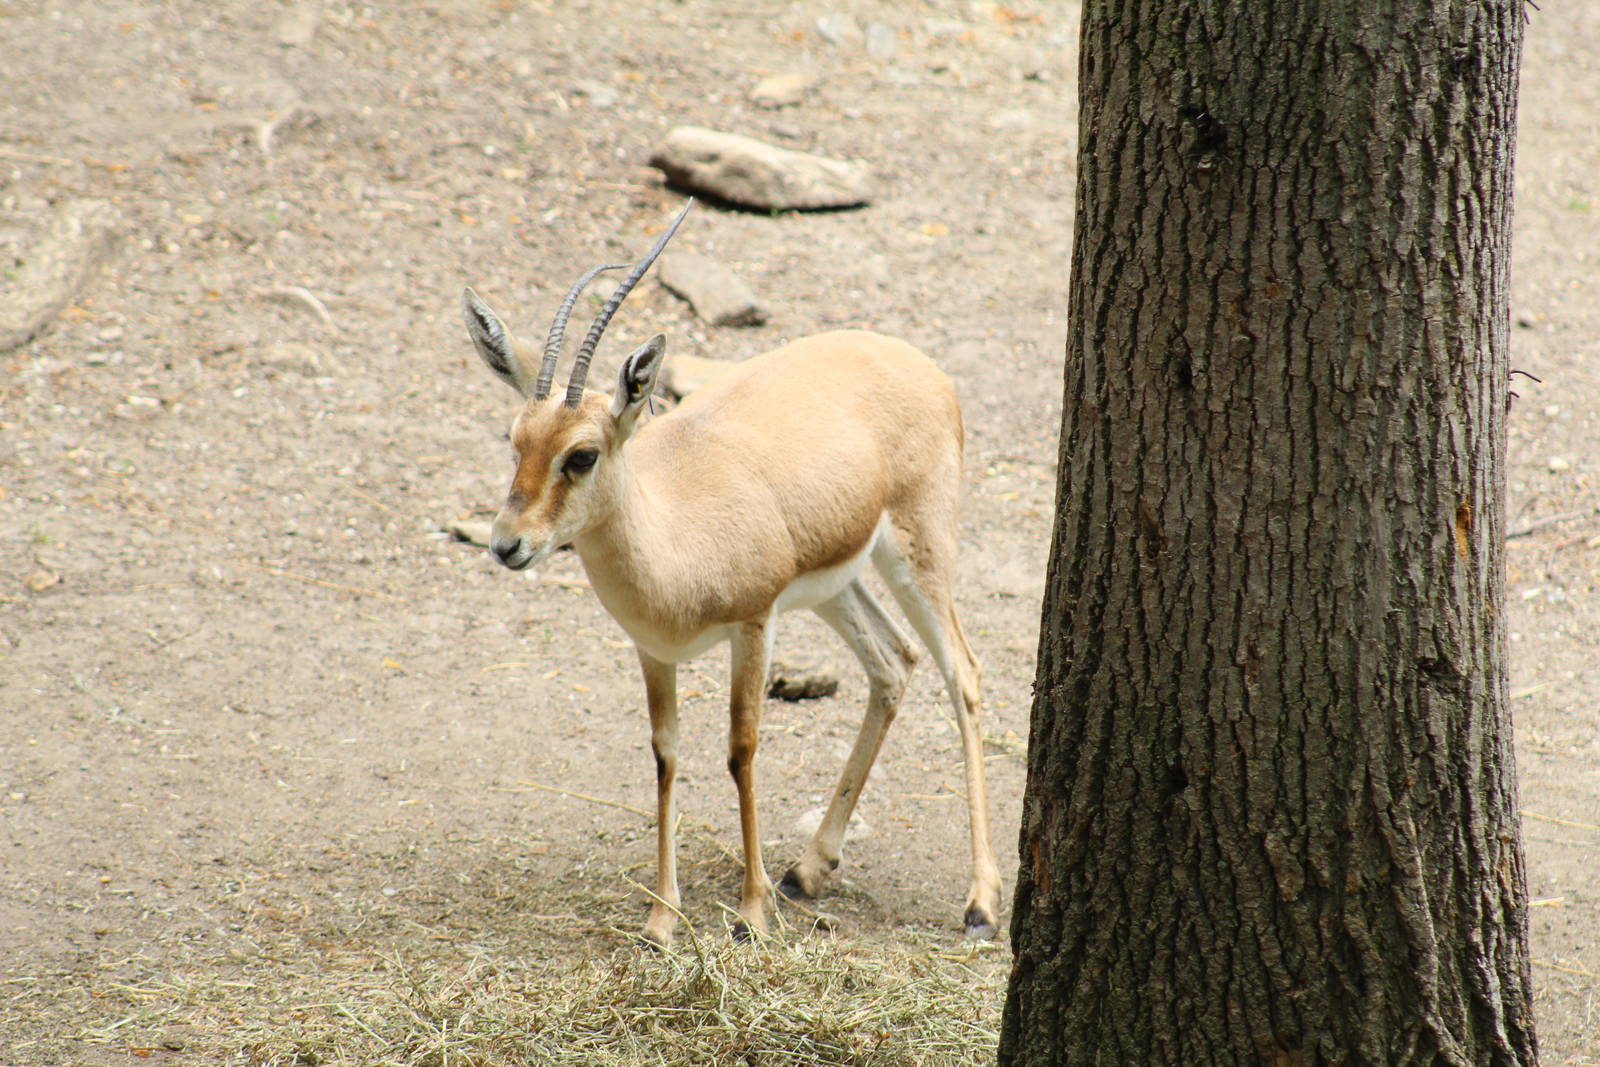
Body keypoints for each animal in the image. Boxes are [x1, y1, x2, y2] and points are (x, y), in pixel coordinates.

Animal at [460, 200, 1000, 945]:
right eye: (516, 440)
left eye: (582, 454)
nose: (506, 544)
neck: (676, 542)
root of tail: (919, 363)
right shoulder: (654, 650)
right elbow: (665, 753)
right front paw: (662, 917)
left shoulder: (754, 622)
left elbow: (741, 748)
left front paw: (750, 912)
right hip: (837, 583)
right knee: (894, 662)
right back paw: (808, 870)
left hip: (919, 550)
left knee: (962, 671)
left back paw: (980, 904)